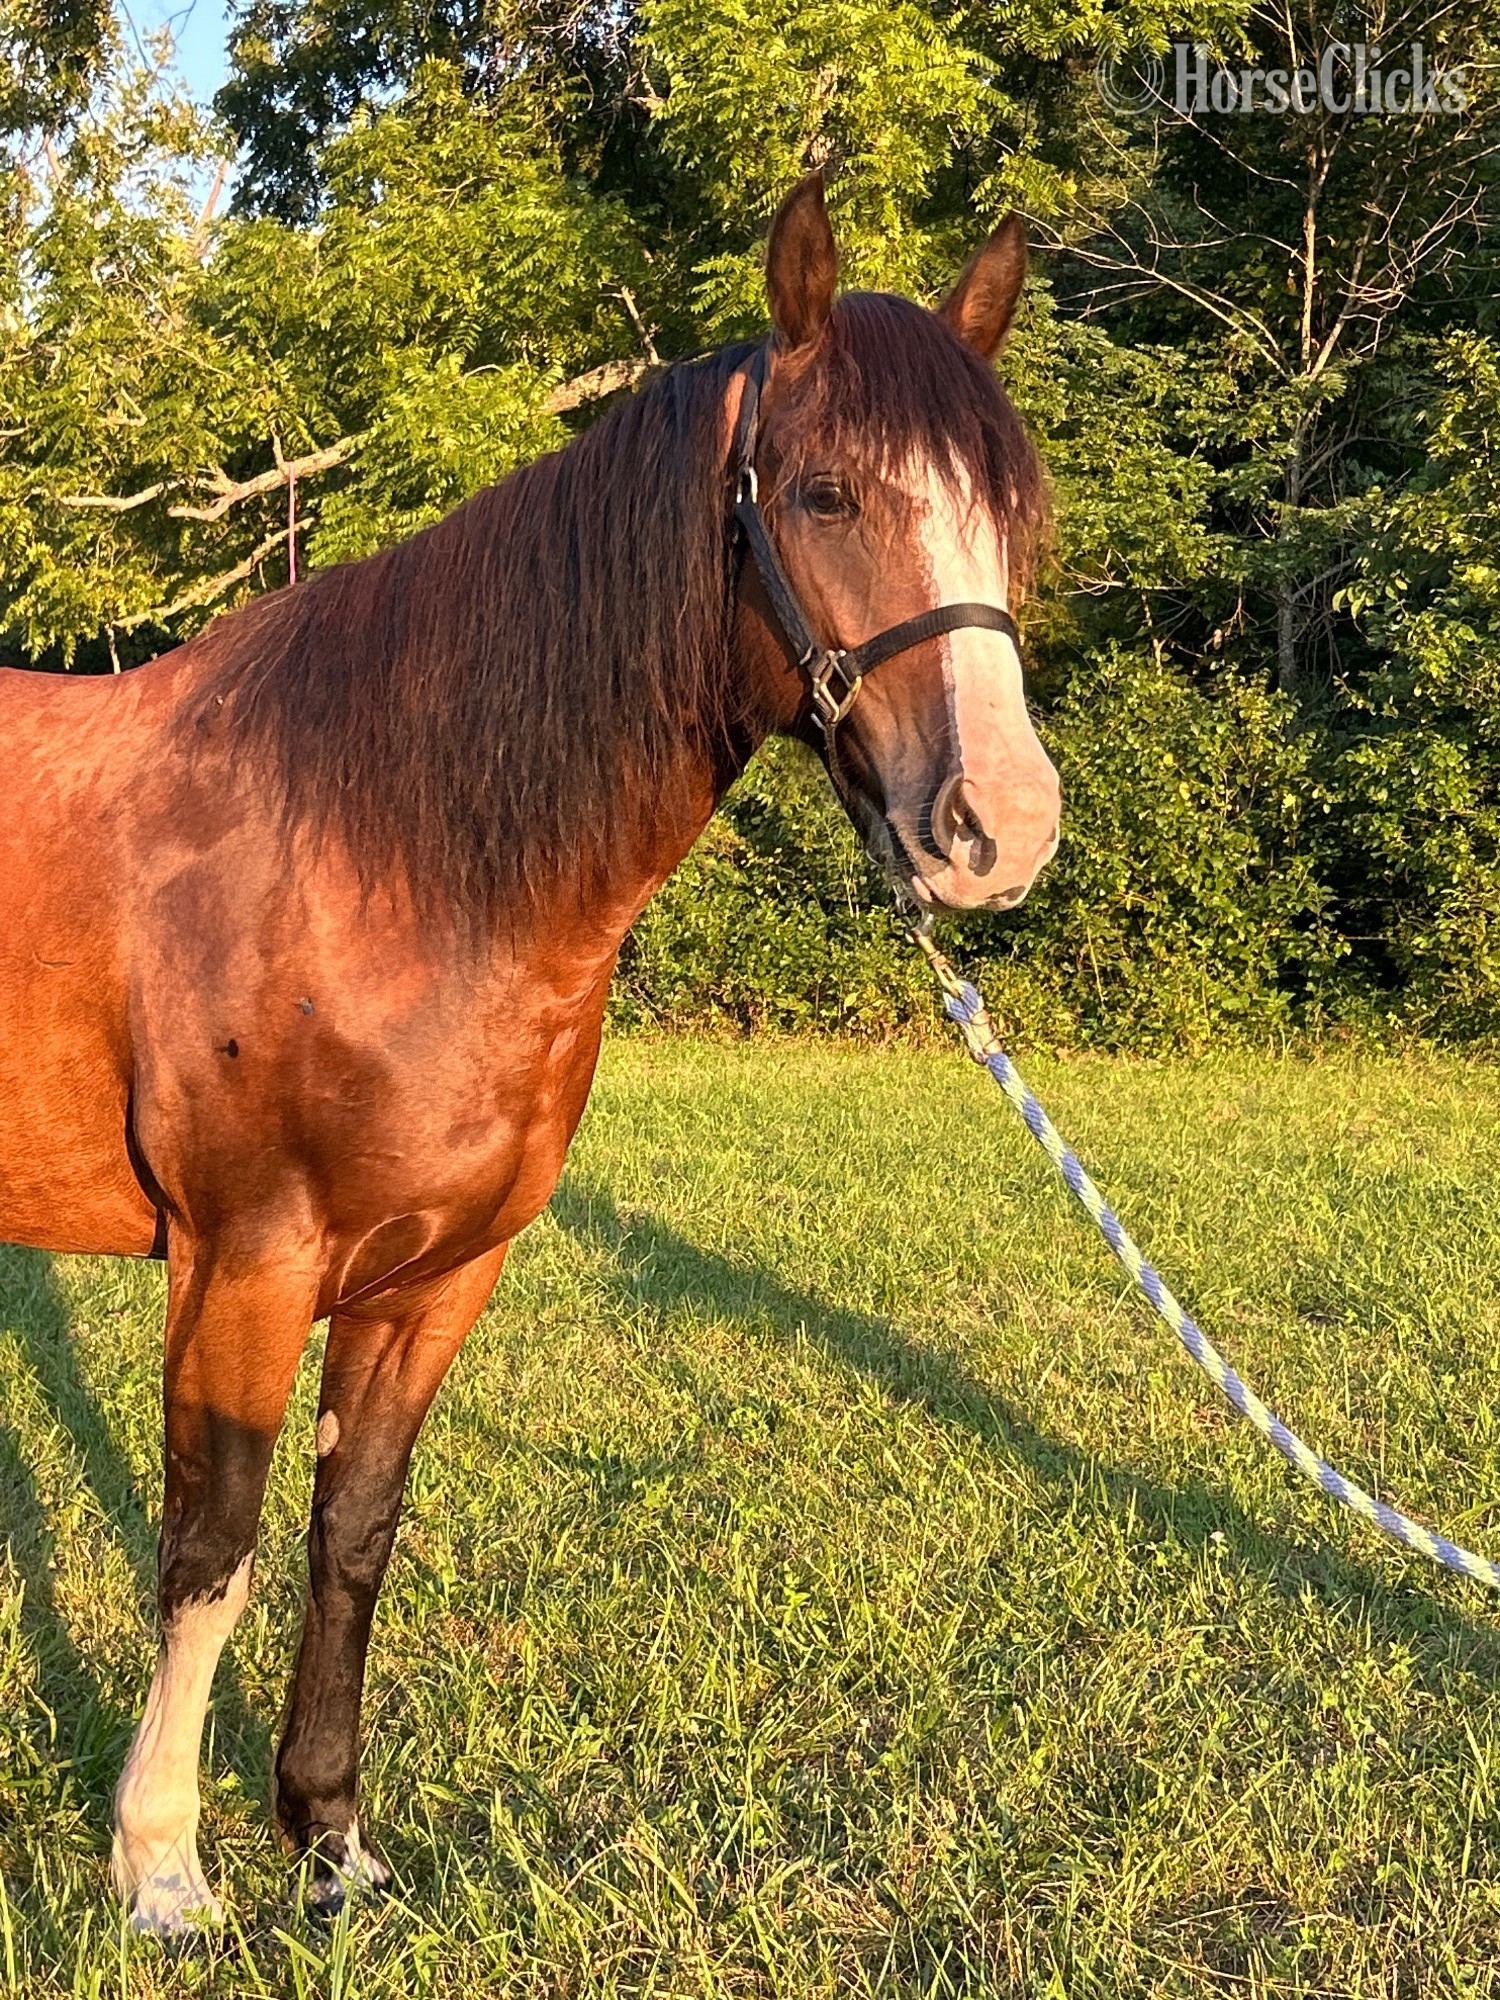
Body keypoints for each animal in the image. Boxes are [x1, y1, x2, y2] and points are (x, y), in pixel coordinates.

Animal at [0, 171, 1059, 1932]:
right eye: (825, 491)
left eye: (1014, 514)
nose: (1001, 831)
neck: (376, 842)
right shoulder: (246, 1260)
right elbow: (210, 1550)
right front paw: (160, 1867)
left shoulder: (437, 1276)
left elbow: (350, 1537)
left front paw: (330, 1845)